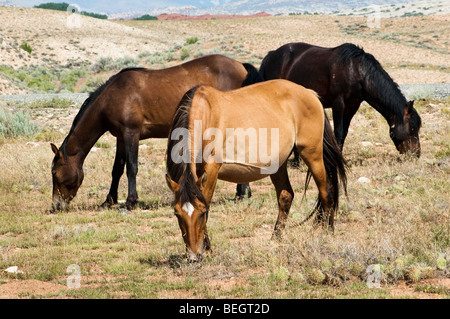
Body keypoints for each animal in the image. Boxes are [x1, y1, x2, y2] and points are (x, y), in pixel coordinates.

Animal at [49, 55, 258, 212]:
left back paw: (242, 193)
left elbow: (131, 168)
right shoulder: (120, 138)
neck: (111, 97)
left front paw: (130, 201)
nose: (55, 206)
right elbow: (117, 169)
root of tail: (241, 65)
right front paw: (108, 201)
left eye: (54, 173)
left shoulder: (131, 134)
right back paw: (242, 193)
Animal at [165, 80, 348, 262]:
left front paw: (208, 249)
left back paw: (328, 233)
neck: (205, 114)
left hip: (312, 154)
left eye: (201, 213)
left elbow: (207, 202)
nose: (193, 256)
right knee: (286, 196)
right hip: (278, 164)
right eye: (177, 214)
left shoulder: (211, 170)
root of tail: (310, 94)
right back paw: (275, 239)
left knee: (326, 191)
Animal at [260, 42, 422, 158]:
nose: (416, 154)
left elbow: (344, 133)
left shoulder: (352, 107)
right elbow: (337, 132)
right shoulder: (338, 104)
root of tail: (272, 55)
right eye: (412, 129)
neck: (357, 71)